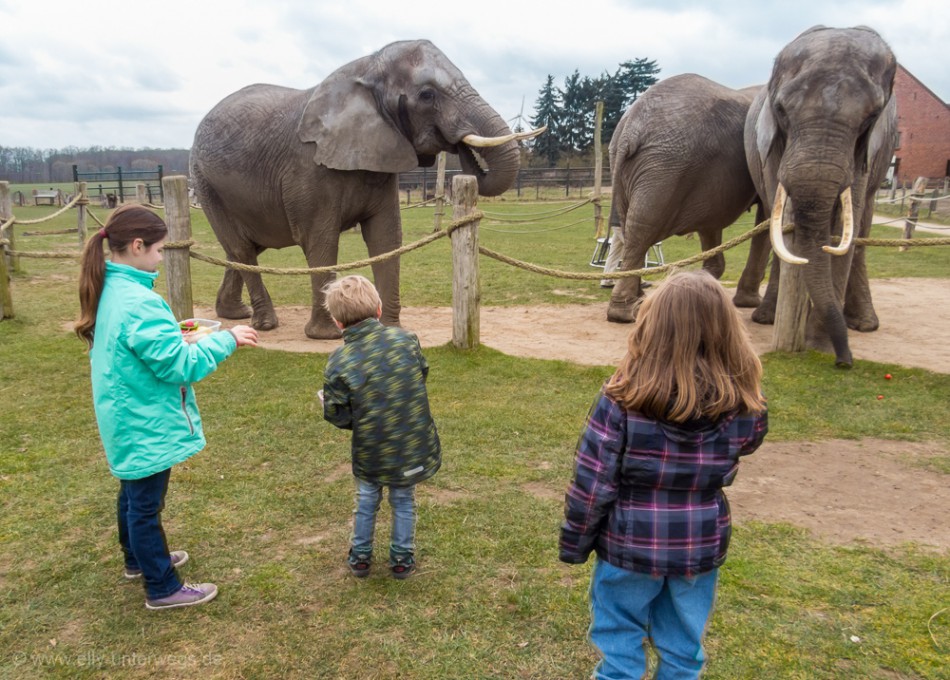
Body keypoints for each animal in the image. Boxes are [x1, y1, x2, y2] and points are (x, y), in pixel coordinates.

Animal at [608, 73, 768, 322]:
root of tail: (630, 130)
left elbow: (712, 224)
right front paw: (749, 303)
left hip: (635, 165)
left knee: (631, 228)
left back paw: (635, 303)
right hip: (664, 167)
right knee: (641, 230)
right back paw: (625, 312)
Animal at [736, 26, 900, 370]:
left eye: (871, 117)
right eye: (781, 110)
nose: (844, 362)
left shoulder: (866, 152)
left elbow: (843, 229)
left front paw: (820, 348)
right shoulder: (772, 145)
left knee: (861, 231)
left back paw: (863, 325)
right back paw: (767, 317)